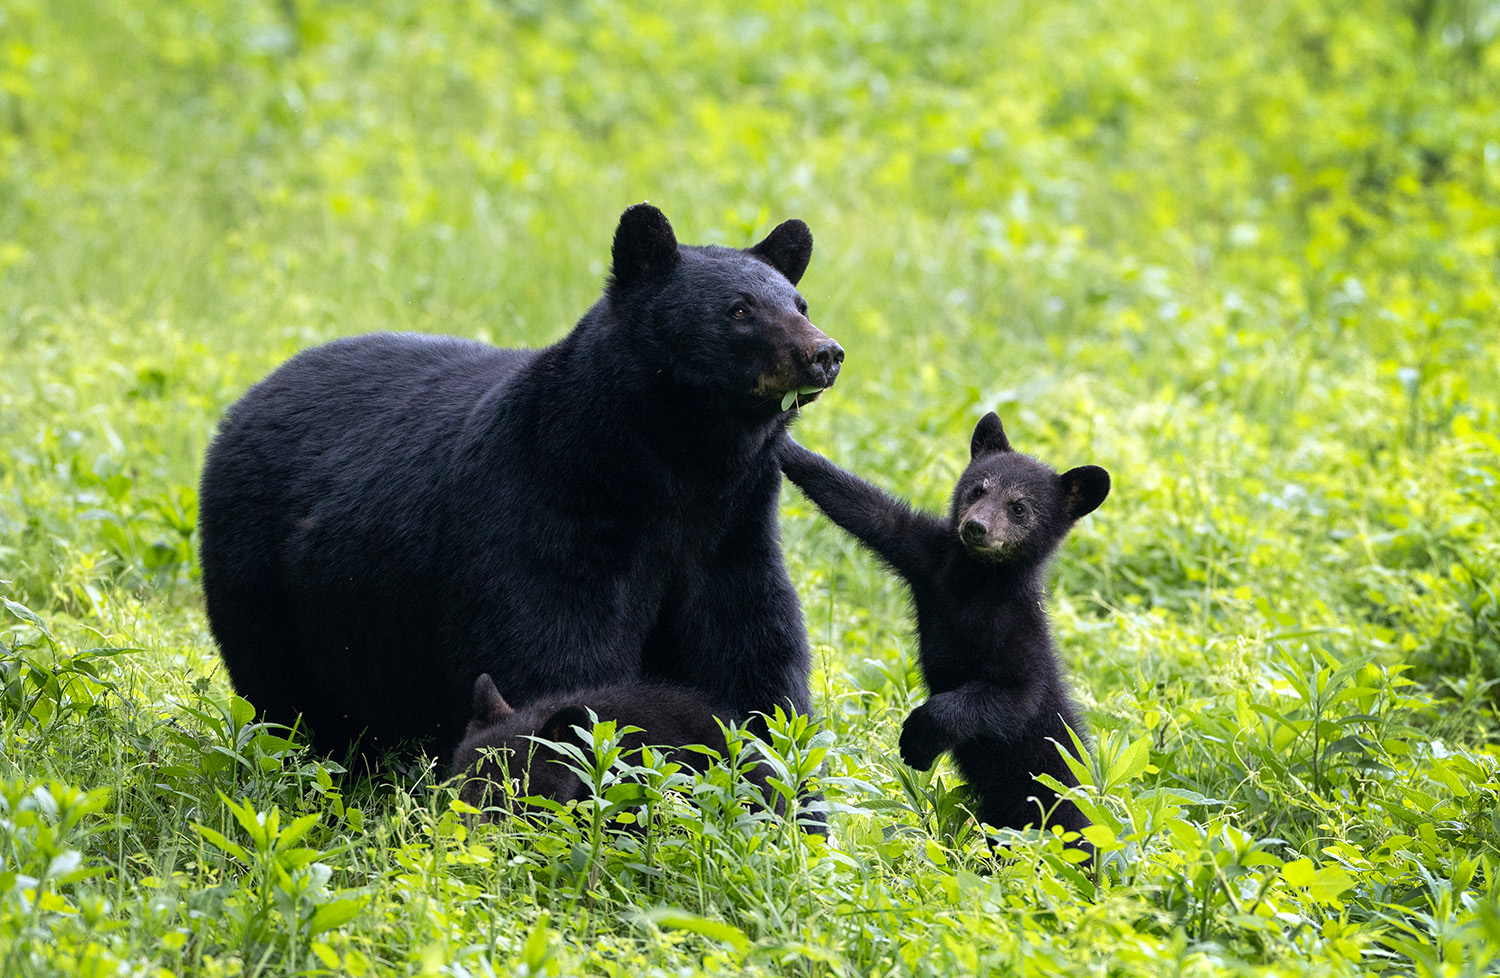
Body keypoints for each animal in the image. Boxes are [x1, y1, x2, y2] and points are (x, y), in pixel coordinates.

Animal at [197, 204, 843, 764]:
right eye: (739, 309)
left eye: (800, 301)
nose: (824, 353)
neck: (672, 470)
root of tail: (248, 398)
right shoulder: (544, 508)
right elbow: (550, 650)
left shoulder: (729, 536)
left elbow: (752, 661)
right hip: (264, 581)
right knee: (289, 699)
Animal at [777, 413, 1108, 852]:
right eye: (977, 488)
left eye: (1020, 508)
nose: (977, 527)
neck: (974, 582)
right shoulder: (928, 559)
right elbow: (871, 511)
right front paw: (784, 444)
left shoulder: (1019, 632)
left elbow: (1012, 696)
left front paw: (918, 738)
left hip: (1052, 796)